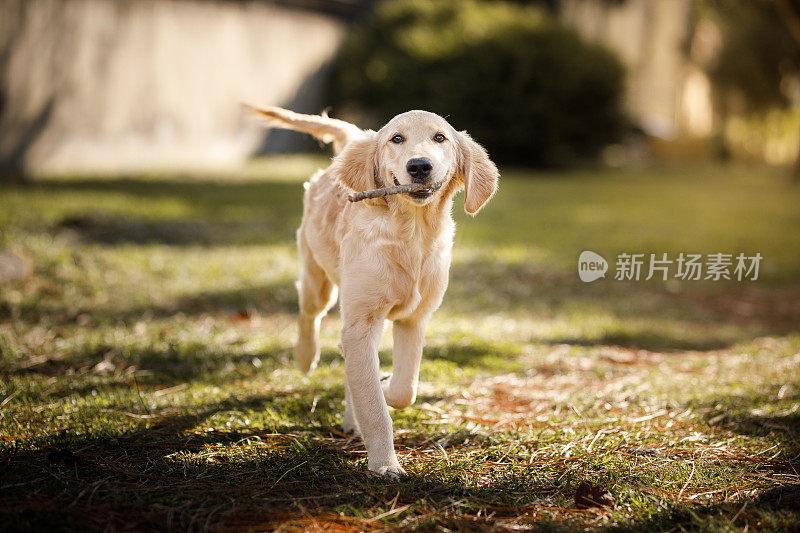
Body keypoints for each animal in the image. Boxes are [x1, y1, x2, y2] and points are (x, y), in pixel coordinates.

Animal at [252, 106, 500, 476]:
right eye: (396, 138)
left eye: (440, 137)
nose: (419, 166)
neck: (411, 236)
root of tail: (355, 139)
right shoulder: (362, 322)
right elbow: (374, 404)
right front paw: (385, 464)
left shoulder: (413, 319)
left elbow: (403, 389)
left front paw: (384, 387)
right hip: (319, 280)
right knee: (309, 314)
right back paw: (306, 356)